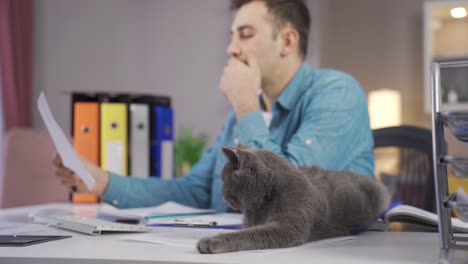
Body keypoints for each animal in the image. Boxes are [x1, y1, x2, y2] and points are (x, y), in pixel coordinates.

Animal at [197, 144, 392, 254]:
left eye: (225, 179)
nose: (222, 194)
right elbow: (248, 230)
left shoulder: (289, 226)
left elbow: (250, 234)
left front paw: (210, 241)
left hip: (381, 194)